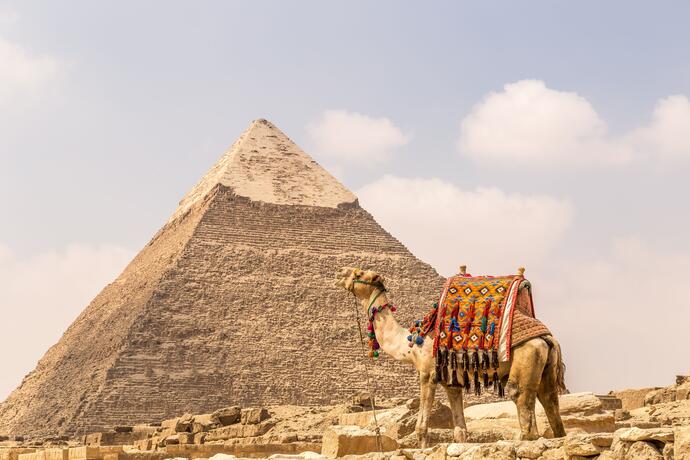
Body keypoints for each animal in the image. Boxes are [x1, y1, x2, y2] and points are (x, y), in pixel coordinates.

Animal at [334, 268, 564, 448]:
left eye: (359, 273)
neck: (410, 344)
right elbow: (460, 430)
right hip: (546, 365)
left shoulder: (427, 373)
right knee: (550, 400)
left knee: (520, 397)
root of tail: (547, 337)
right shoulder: (452, 383)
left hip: (527, 354)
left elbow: (422, 427)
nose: (340, 273)